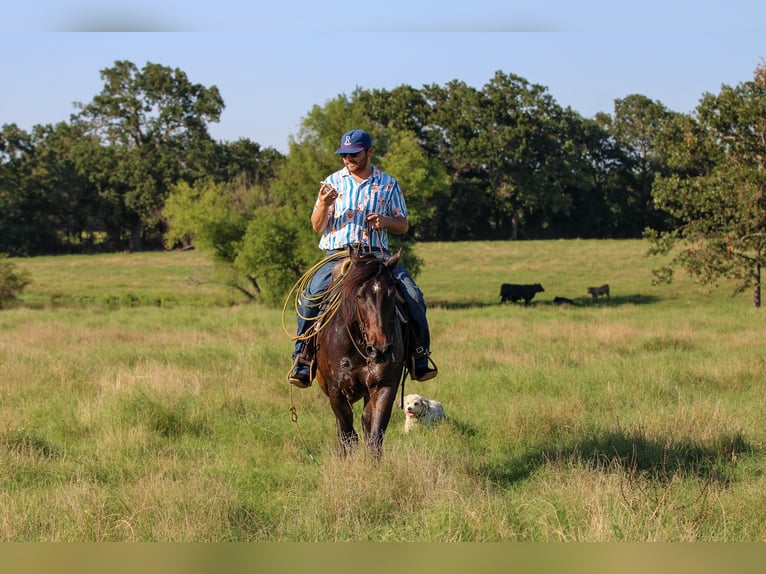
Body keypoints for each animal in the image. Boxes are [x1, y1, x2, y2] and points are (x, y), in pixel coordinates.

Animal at [314, 251, 408, 460]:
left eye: (392, 294)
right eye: (359, 296)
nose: (380, 349)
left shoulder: (384, 386)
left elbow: (374, 438)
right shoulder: (336, 392)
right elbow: (347, 435)